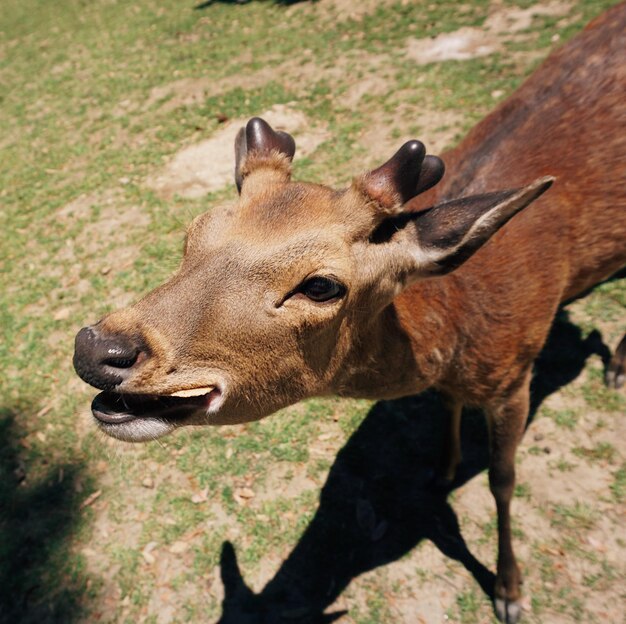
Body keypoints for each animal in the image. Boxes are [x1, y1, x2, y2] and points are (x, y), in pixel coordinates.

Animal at [74, 2, 624, 620]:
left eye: (320, 286)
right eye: (192, 234)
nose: (97, 348)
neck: (461, 323)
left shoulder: (517, 371)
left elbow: (503, 479)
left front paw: (509, 591)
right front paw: (442, 469)